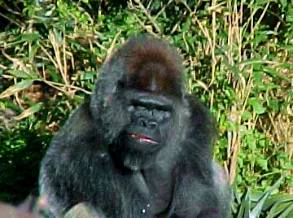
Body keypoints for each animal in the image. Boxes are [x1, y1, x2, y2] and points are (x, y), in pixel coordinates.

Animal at [38, 35, 230, 217]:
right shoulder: (85, 147)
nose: (148, 123)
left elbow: (199, 206)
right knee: (84, 208)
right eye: (139, 105)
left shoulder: (195, 120)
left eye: (160, 110)